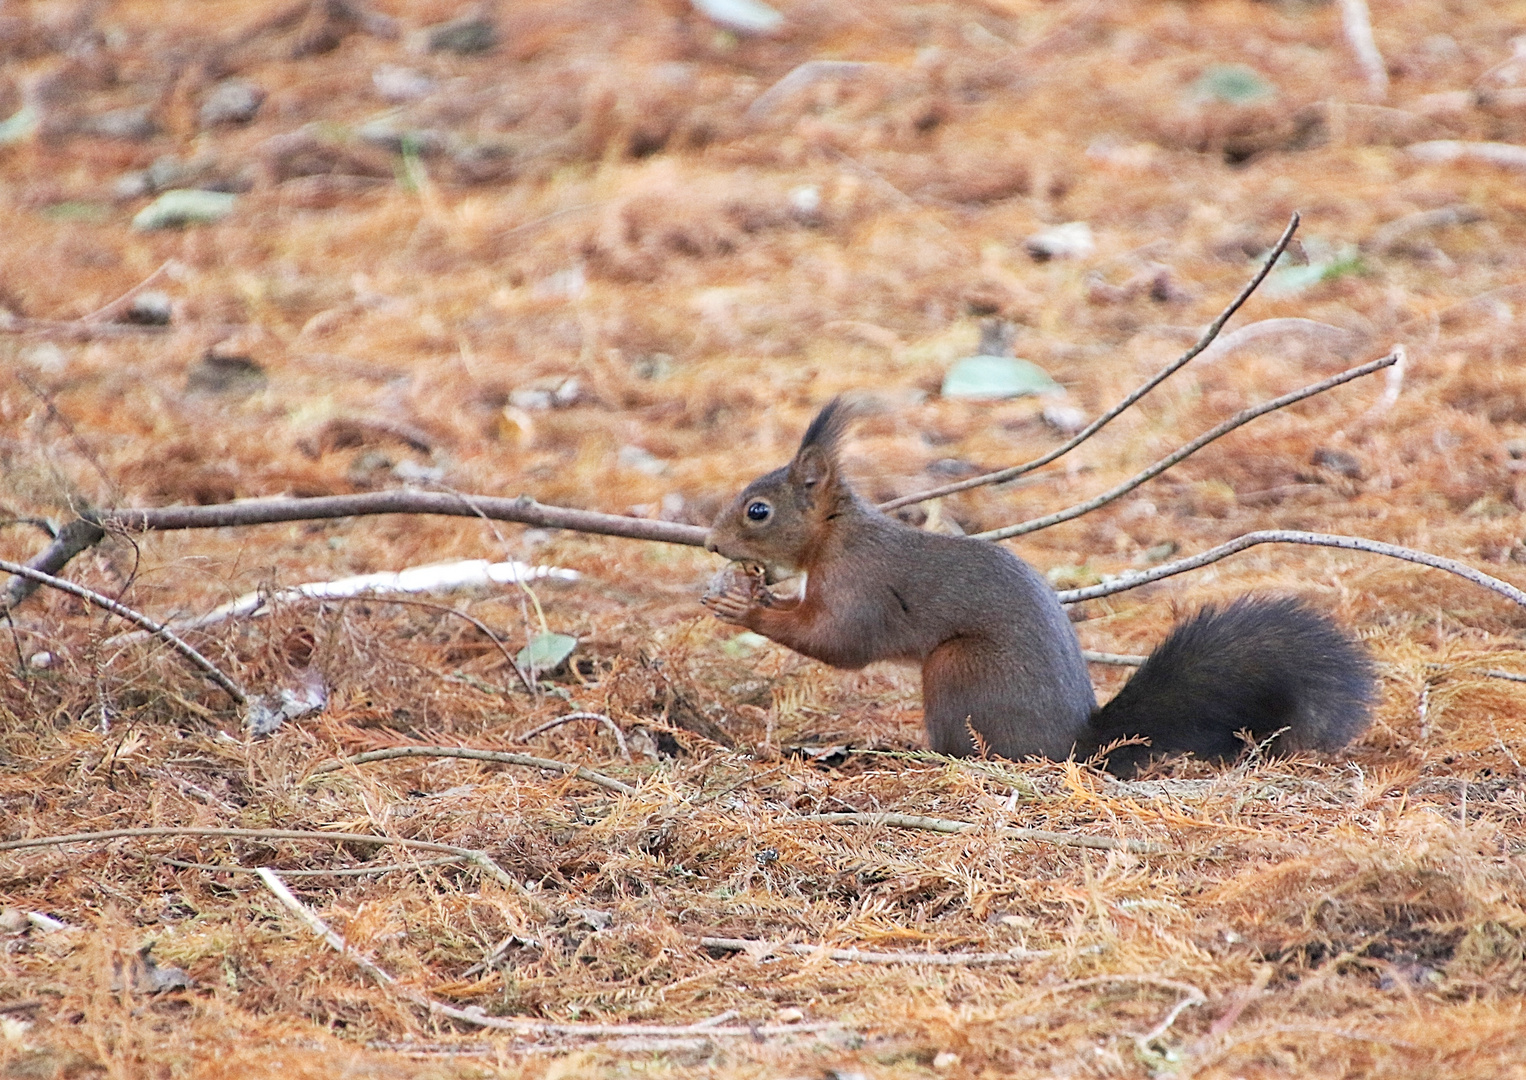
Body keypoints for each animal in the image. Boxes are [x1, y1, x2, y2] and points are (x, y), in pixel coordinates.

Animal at [701, 396, 1385, 774]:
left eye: (757, 511)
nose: (709, 543)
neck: (837, 535)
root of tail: (1075, 746)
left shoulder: (860, 586)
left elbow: (839, 643)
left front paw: (743, 606)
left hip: (957, 671)